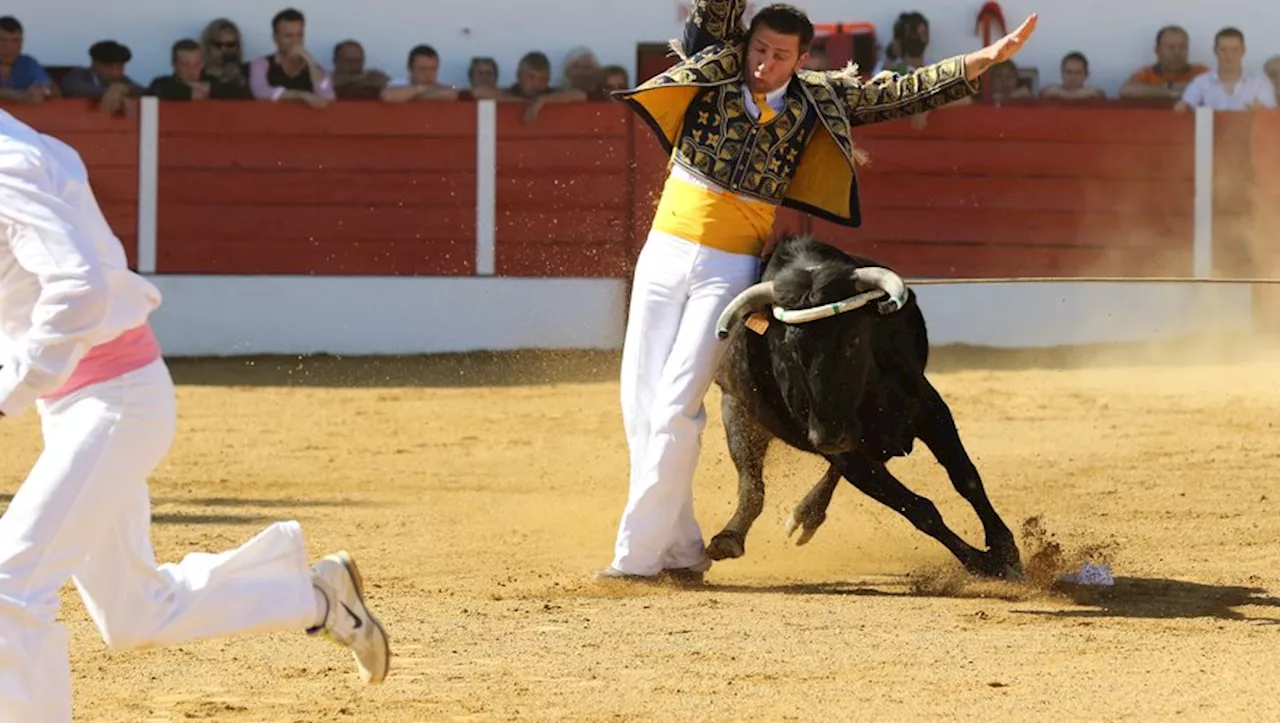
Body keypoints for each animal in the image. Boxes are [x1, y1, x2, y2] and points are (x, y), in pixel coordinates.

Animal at [706, 234, 1024, 578]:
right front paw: (983, 562)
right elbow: (919, 509)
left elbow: (966, 478)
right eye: (788, 348)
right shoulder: (845, 453)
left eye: (853, 341)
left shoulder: (929, 408)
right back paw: (729, 538)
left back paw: (806, 514)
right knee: (752, 484)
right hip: (736, 411)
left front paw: (1005, 550)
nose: (829, 437)